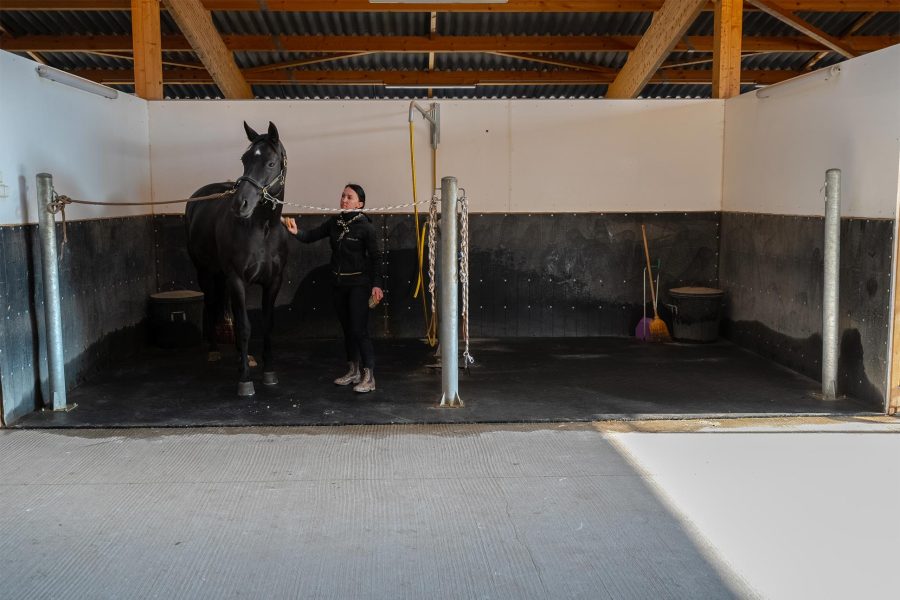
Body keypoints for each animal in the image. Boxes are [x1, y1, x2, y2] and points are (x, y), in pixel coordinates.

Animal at [185, 120, 290, 398]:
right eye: (244, 159)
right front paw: (245, 381)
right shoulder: (237, 279)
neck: (262, 229)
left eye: (271, 163)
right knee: (211, 304)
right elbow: (244, 327)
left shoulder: (273, 282)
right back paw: (214, 350)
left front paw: (268, 372)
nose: (240, 204)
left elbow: (267, 324)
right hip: (206, 272)